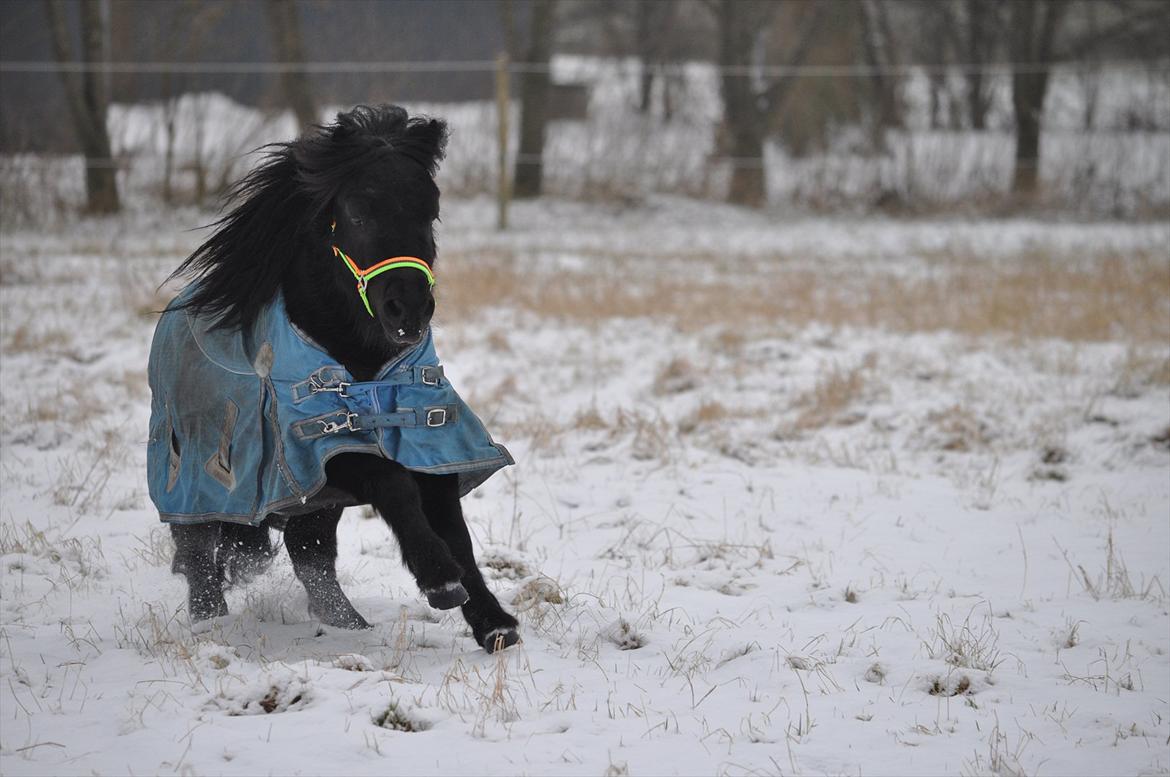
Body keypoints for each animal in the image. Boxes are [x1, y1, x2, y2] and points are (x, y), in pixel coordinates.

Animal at [163, 107, 517, 655]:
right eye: (357, 213)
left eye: (430, 211)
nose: (407, 309)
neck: (363, 363)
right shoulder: (325, 448)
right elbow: (394, 486)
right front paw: (440, 579)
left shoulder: (432, 439)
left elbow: (454, 527)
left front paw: (493, 622)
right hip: (196, 489)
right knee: (199, 557)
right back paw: (210, 626)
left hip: (316, 508)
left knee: (309, 556)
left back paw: (347, 625)